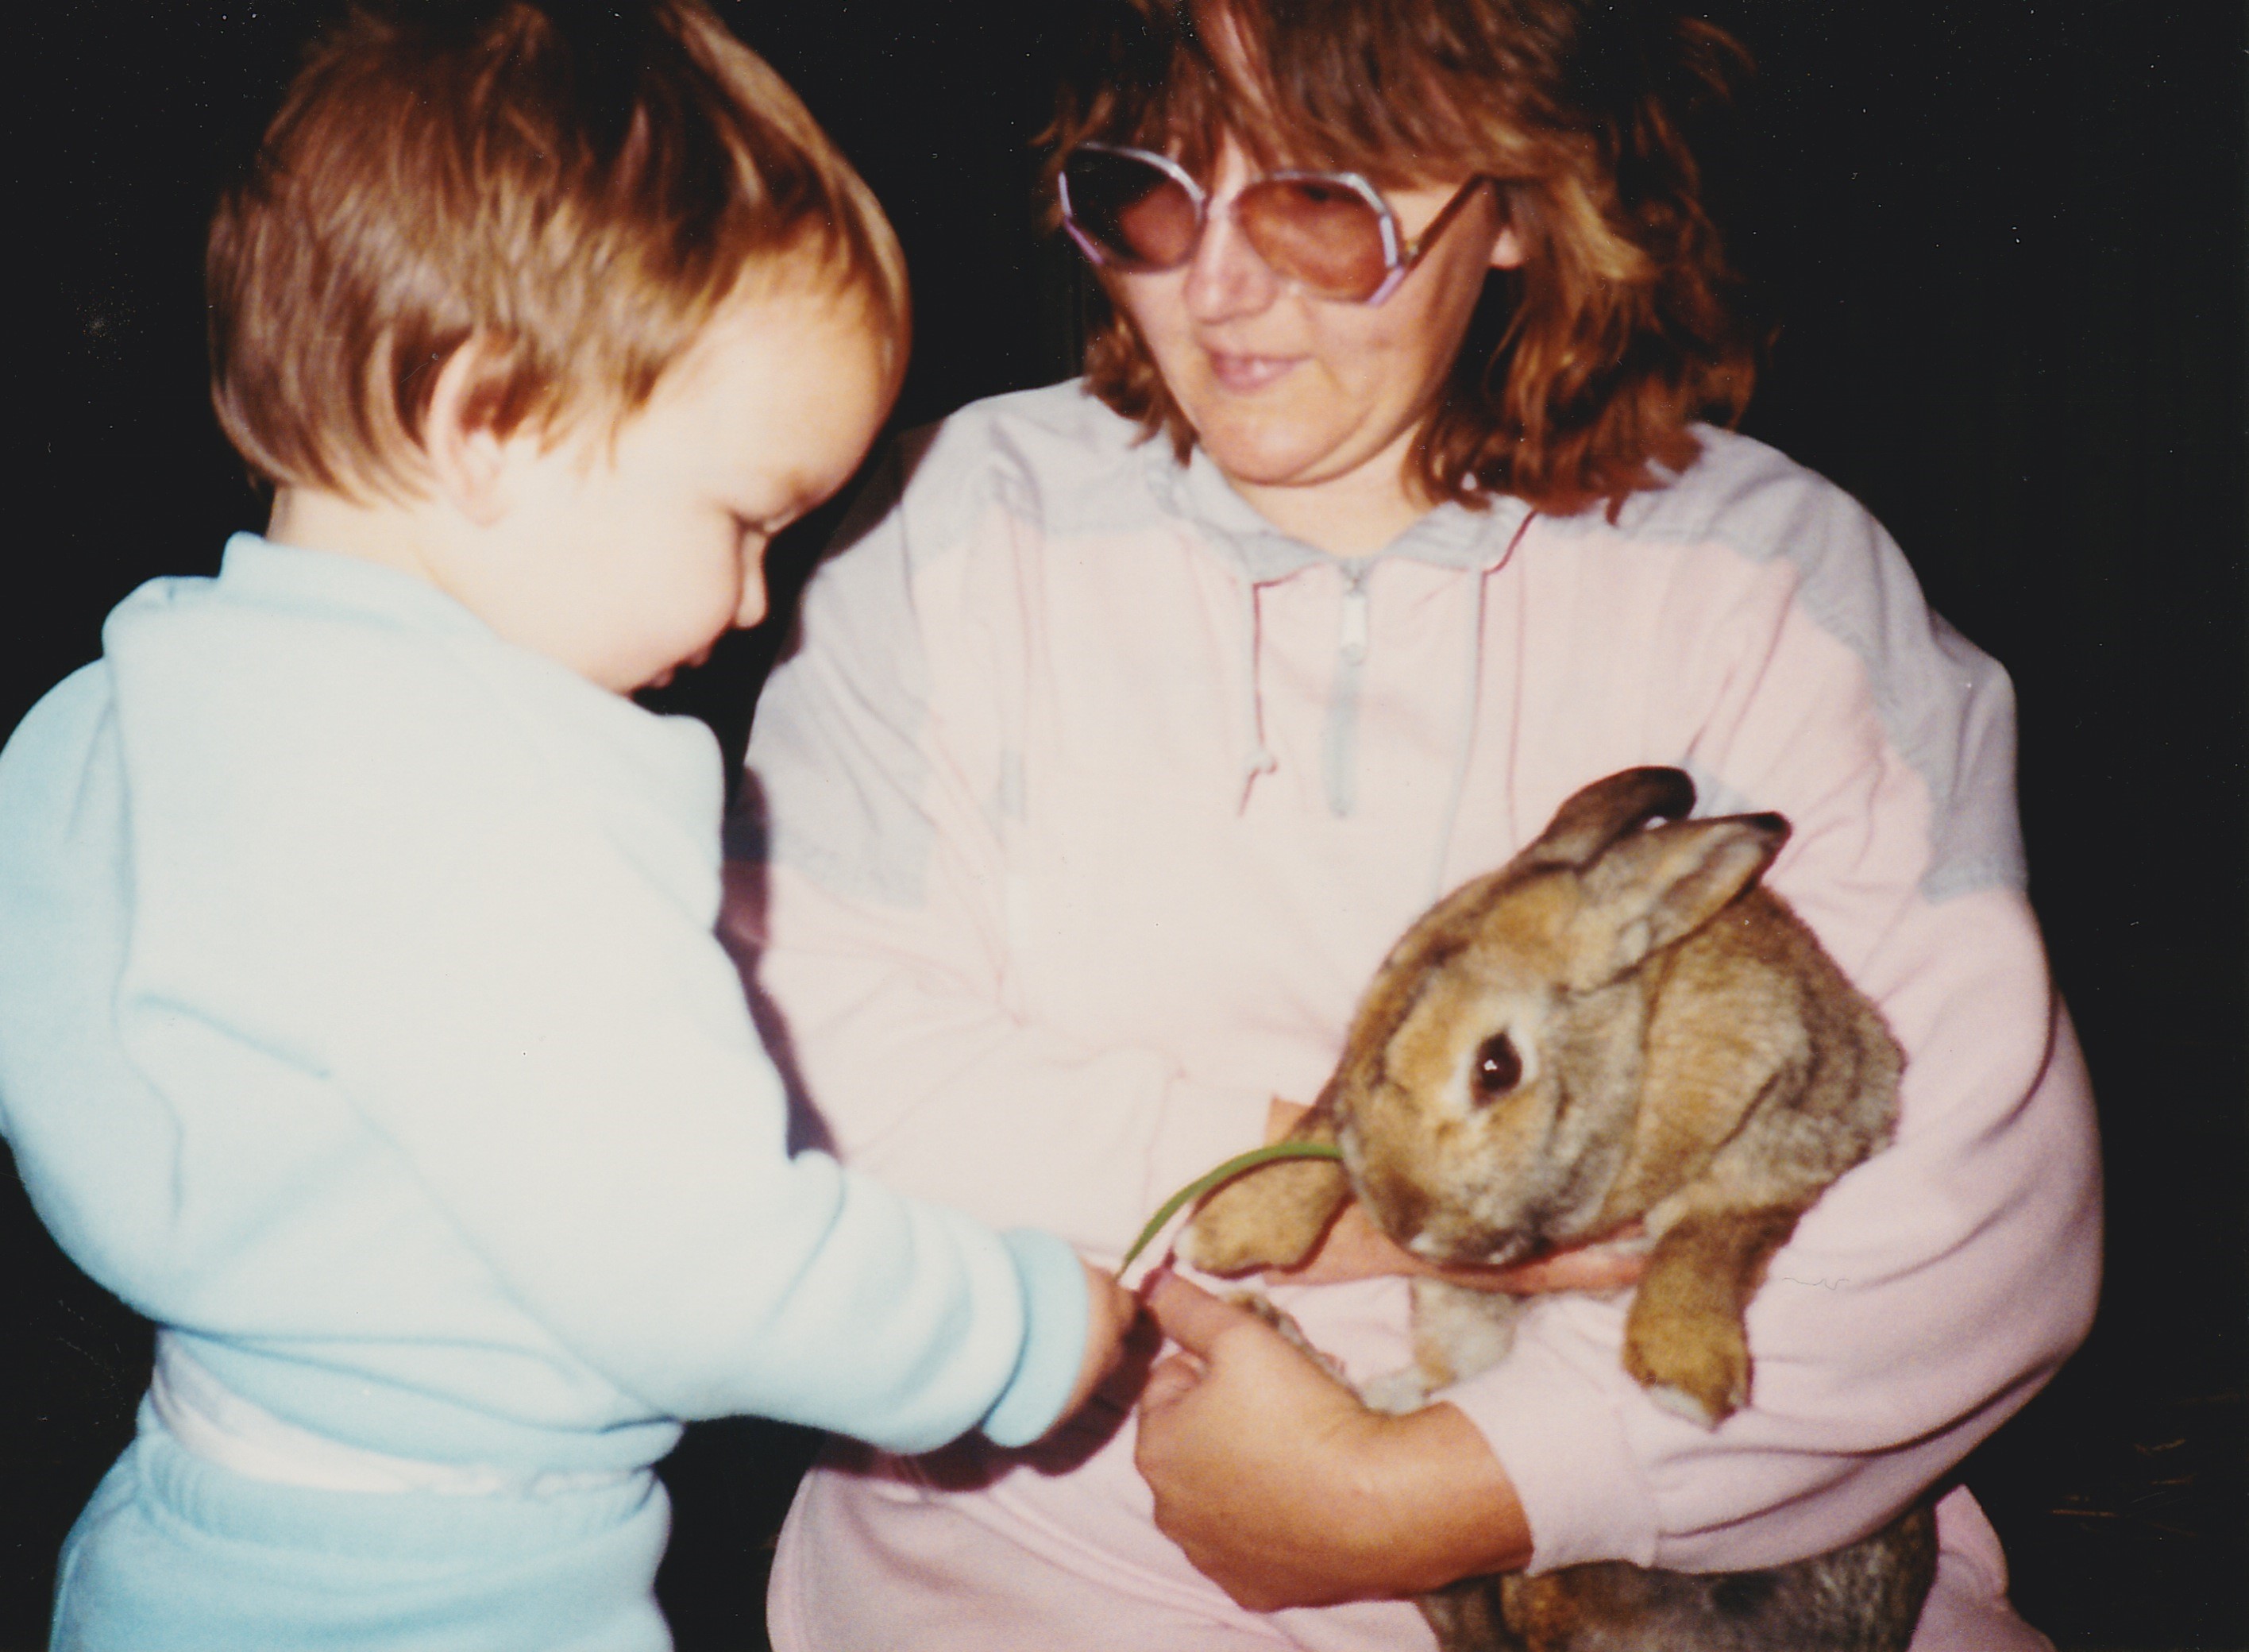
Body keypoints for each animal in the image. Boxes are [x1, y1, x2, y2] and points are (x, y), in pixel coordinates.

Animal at [1177, 766, 1937, 1652]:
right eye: (1364, 1026)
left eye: (1496, 1066)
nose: (1403, 1221)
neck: (1639, 1056)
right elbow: (1322, 1127)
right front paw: (1227, 1228)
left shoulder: (1802, 1121)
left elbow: (1716, 1232)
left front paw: (1684, 1375)